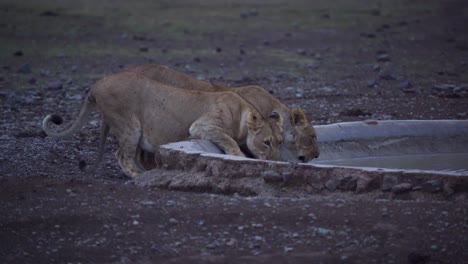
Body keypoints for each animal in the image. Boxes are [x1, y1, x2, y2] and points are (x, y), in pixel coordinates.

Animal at [44, 71, 284, 177]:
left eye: (280, 142)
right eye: (267, 142)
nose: (277, 161)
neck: (243, 111)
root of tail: (97, 84)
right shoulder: (201, 125)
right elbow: (228, 139)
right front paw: (240, 156)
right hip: (129, 125)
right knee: (121, 156)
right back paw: (139, 177)